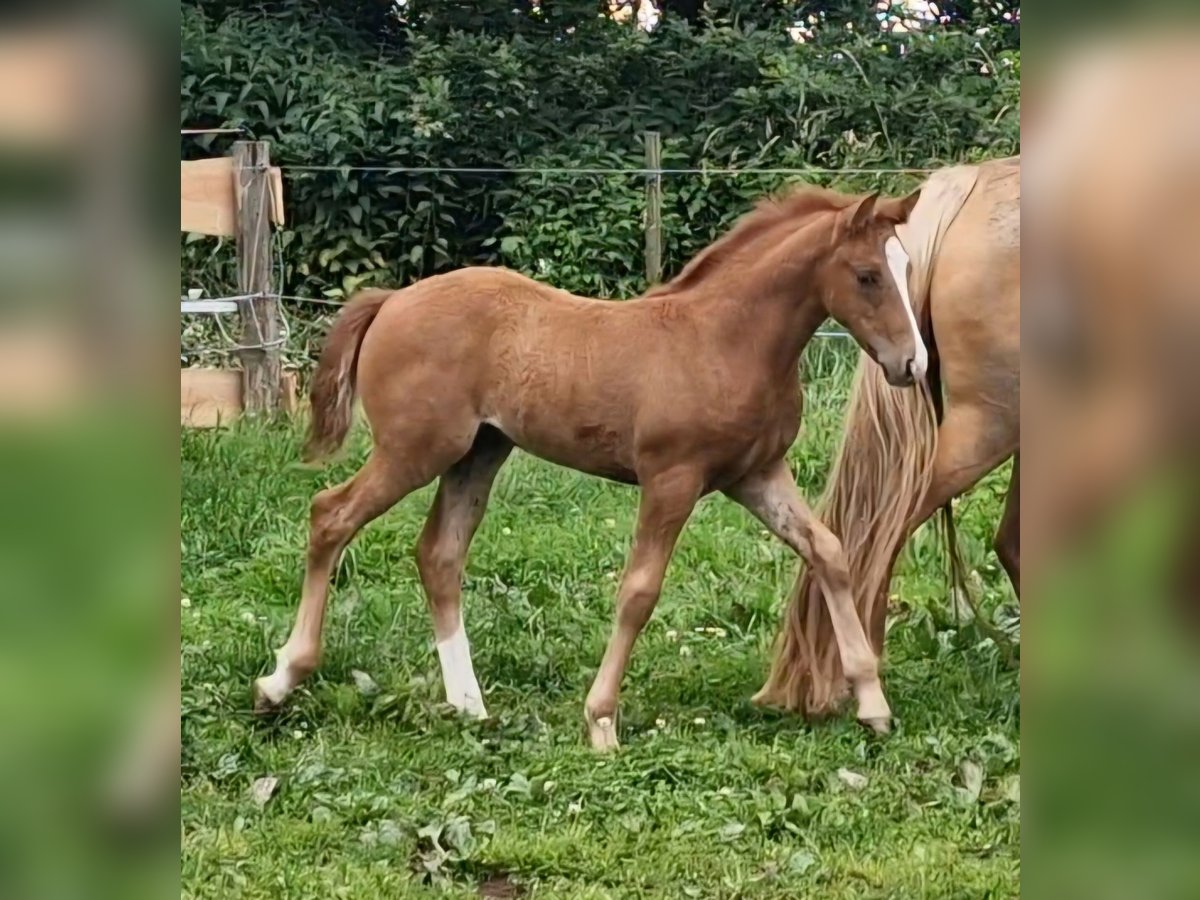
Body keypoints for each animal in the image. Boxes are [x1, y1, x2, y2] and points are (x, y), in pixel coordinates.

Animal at [255, 184, 926, 748]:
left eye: (906, 271)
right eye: (867, 275)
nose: (913, 364)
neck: (725, 340)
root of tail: (393, 299)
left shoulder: (755, 475)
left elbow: (829, 551)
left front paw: (872, 701)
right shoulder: (672, 479)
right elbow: (639, 591)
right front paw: (601, 719)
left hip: (478, 453)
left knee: (438, 554)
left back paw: (469, 704)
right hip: (414, 451)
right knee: (331, 515)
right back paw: (280, 681)